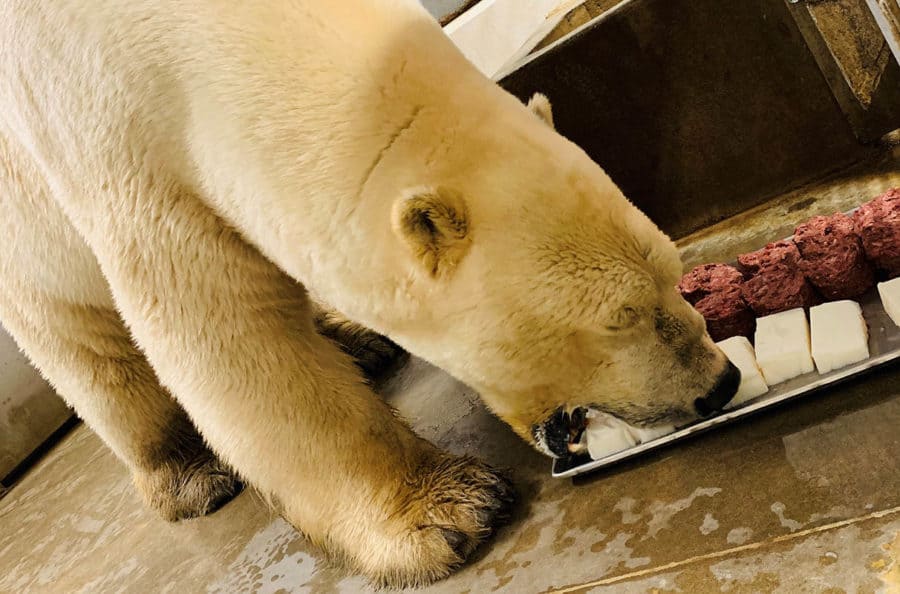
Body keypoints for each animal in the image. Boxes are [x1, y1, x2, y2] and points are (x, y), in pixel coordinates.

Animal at [0, 0, 740, 584]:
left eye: (672, 273)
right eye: (620, 318)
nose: (721, 383)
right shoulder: (121, 152)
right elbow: (226, 341)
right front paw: (445, 511)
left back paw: (357, 341)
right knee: (79, 340)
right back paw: (189, 473)